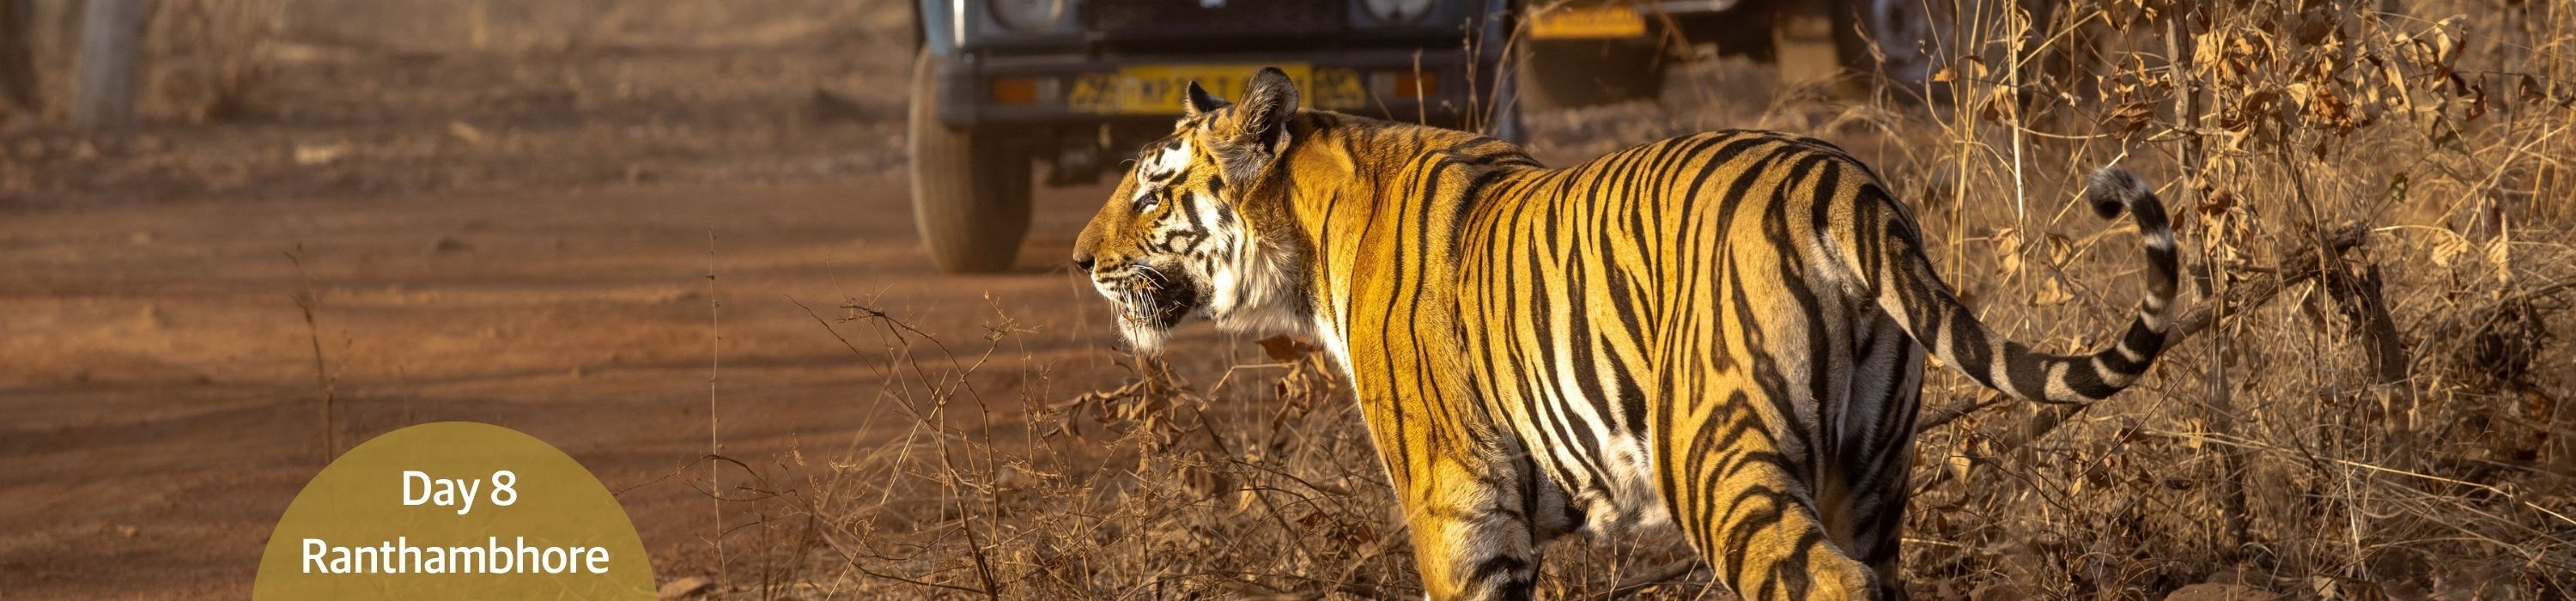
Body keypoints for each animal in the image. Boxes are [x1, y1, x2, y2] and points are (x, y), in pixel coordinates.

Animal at [1069, 68, 2178, 600]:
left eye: (1152, 190)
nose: (1079, 258)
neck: (1306, 239)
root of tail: (1842, 180)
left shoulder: (1458, 510)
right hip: (1872, 467)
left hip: (1713, 454)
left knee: (1829, 581)